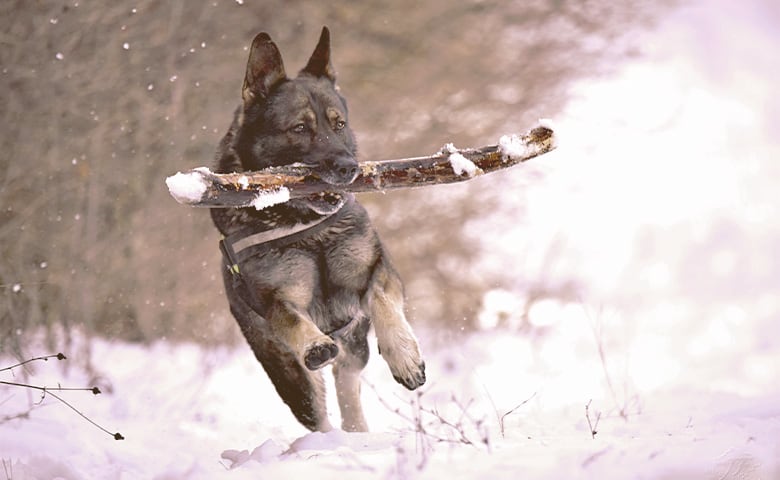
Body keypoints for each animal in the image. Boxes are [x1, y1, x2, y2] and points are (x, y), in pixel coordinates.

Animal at [209, 26, 426, 432]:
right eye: (299, 128)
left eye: (338, 123)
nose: (348, 168)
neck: (308, 228)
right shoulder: (274, 299)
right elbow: (293, 319)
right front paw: (314, 342)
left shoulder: (378, 268)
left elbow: (383, 300)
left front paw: (404, 356)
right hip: (290, 377)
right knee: (319, 410)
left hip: (354, 347)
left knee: (348, 382)